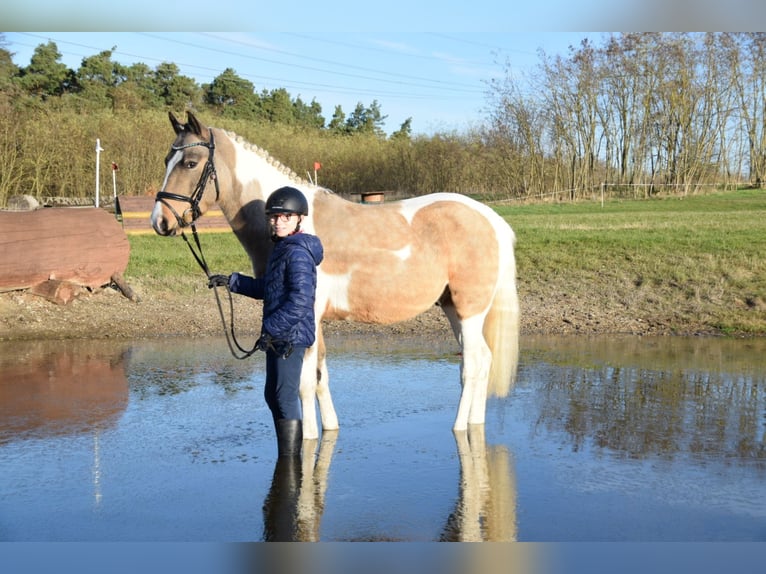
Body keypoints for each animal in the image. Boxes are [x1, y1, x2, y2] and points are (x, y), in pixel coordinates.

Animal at [152, 113, 520, 446]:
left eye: (190, 163)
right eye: (168, 159)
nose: (160, 221)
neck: (295, 229)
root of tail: (490, 219)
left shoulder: (308, 316)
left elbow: (302, 383)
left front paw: (309, 440)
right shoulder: (314, 323)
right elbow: (319, 377)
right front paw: (329, 430)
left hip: (469, 310)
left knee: (472, 365)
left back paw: (459, 429)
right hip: (452, 308)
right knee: (483, 360)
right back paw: (474, 423)